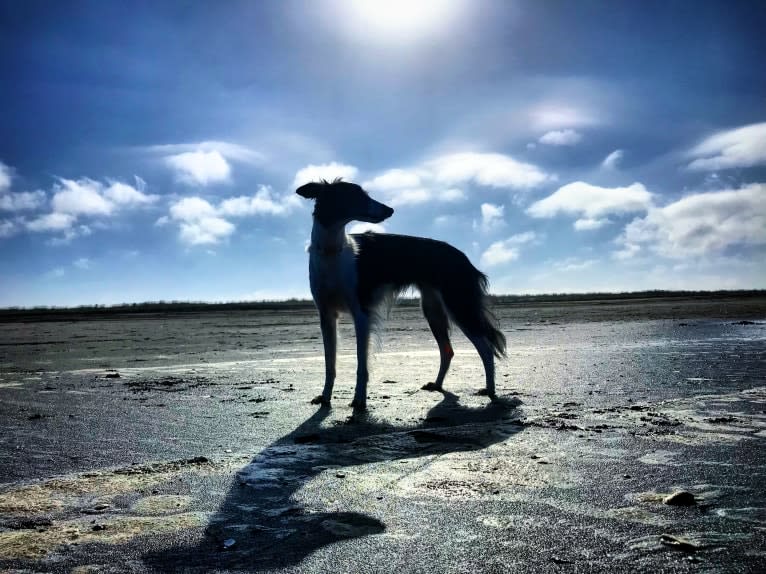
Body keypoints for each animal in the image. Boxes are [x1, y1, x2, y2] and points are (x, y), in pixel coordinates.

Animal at [296, 180, 508, 410]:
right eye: (356, 195)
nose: (390, 210)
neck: (333, 252)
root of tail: (463, 258)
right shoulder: (326, 315)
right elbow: (330, 364)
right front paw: (325, 397)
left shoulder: (361, 313)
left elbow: (362, 364)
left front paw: (359, 400)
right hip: (433, 309)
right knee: (448, 350)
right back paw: (438, 385)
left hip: (458, 305)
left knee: (486, 349)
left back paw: (490, 390)